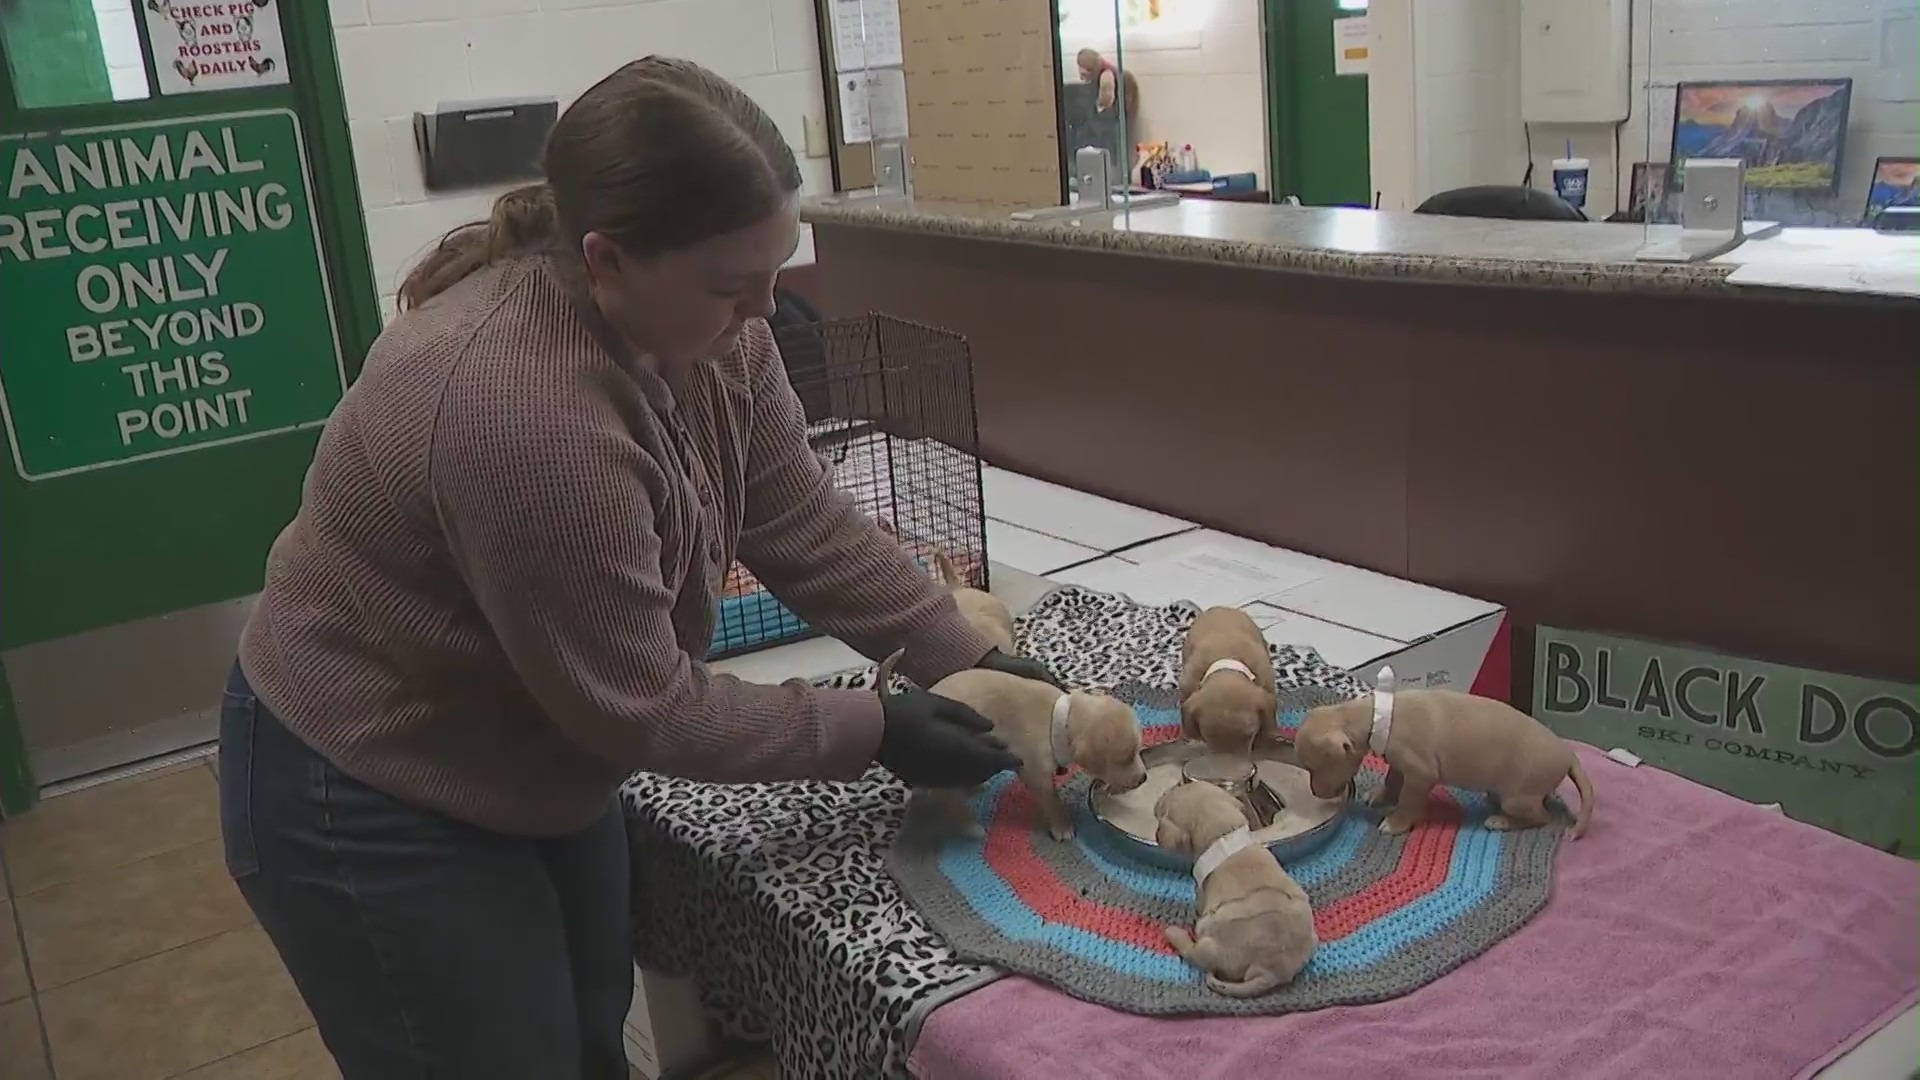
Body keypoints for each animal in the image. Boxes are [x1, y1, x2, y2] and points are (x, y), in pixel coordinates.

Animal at [879, 641, 1144, 837]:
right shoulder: (1035, 773)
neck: (1060, 718)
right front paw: (1062, 827)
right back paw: (970, 826)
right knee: (946, 798)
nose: (1143, 778)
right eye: (1125, 758)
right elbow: (1052, 801)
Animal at [1144, 772, 1313, 991]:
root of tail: (1269, 972)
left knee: (1194, 953)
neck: (1224, 837)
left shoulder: (1201, 892)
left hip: (1207, 942)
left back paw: (1174, 933)